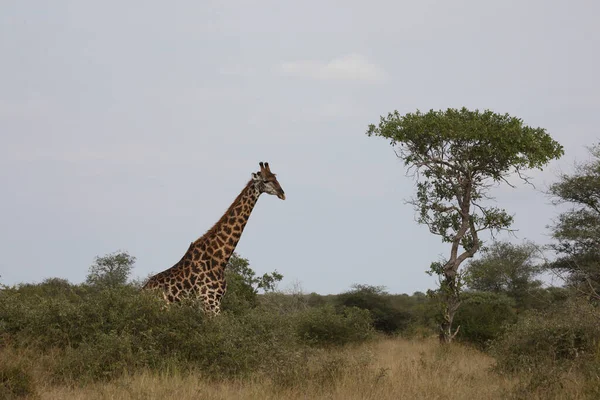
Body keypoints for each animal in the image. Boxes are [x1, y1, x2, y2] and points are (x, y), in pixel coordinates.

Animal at [144, 161, 288, 314]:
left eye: (275, 177)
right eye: (266, 180)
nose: (282, 193)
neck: (219, 259)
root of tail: (142, 290)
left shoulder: (215, 303)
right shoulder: (210, 303)